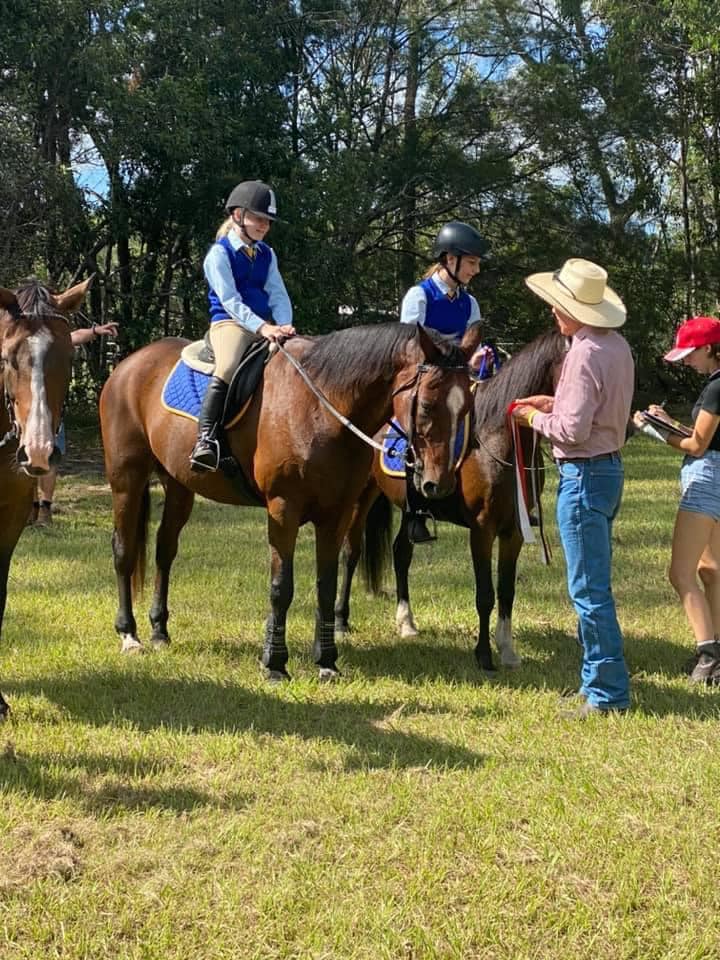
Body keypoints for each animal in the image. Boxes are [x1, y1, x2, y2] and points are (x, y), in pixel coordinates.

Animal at [97, 318, 478, 680]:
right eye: (426, 405)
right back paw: (129, 634)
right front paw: (275, 664)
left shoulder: (336, 513)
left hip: (179, 486)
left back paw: (159, 630)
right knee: (123, 551)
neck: (322, 409)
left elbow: (326, 584)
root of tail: (128, 364)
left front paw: (327, 661)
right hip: (127, 480)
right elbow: (282, 587)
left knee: (165, 550)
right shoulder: (283, 509)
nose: (439, 483)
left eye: (468, 408)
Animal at [334, 330, 568, 676]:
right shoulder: (483, 529)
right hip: (361, 498)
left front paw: (507, 650)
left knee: (401, 553)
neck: (497, 442)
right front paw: (484, 656)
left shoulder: (513, 530)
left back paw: (406, 622)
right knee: (351, 554)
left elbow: (507, 590)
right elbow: (485, 594)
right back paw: (340, 621)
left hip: (410, 510)